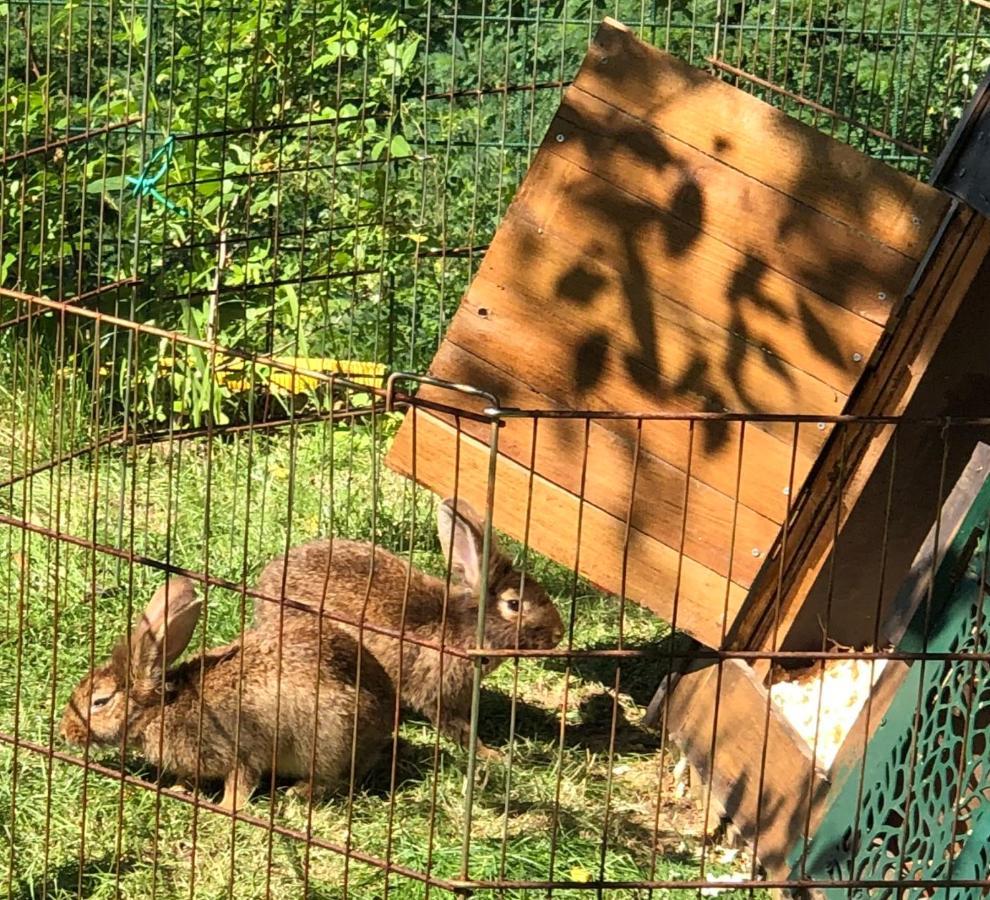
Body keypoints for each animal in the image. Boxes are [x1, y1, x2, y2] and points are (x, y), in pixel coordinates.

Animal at [60, 576, 396, 816]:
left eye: (100, 702)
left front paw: (224, 809)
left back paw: (299, 792)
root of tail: (385, 717)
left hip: (331, 737)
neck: (161, 709)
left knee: (338, 778)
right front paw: (179, 790)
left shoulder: (242, 749)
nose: (65, 732)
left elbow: (241, 783)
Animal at [254, 500, 564, 760]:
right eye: (514, 604)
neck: (466, 627)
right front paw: (491, 755)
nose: (558, 634)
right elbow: (456, 726)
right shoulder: (437, 693)